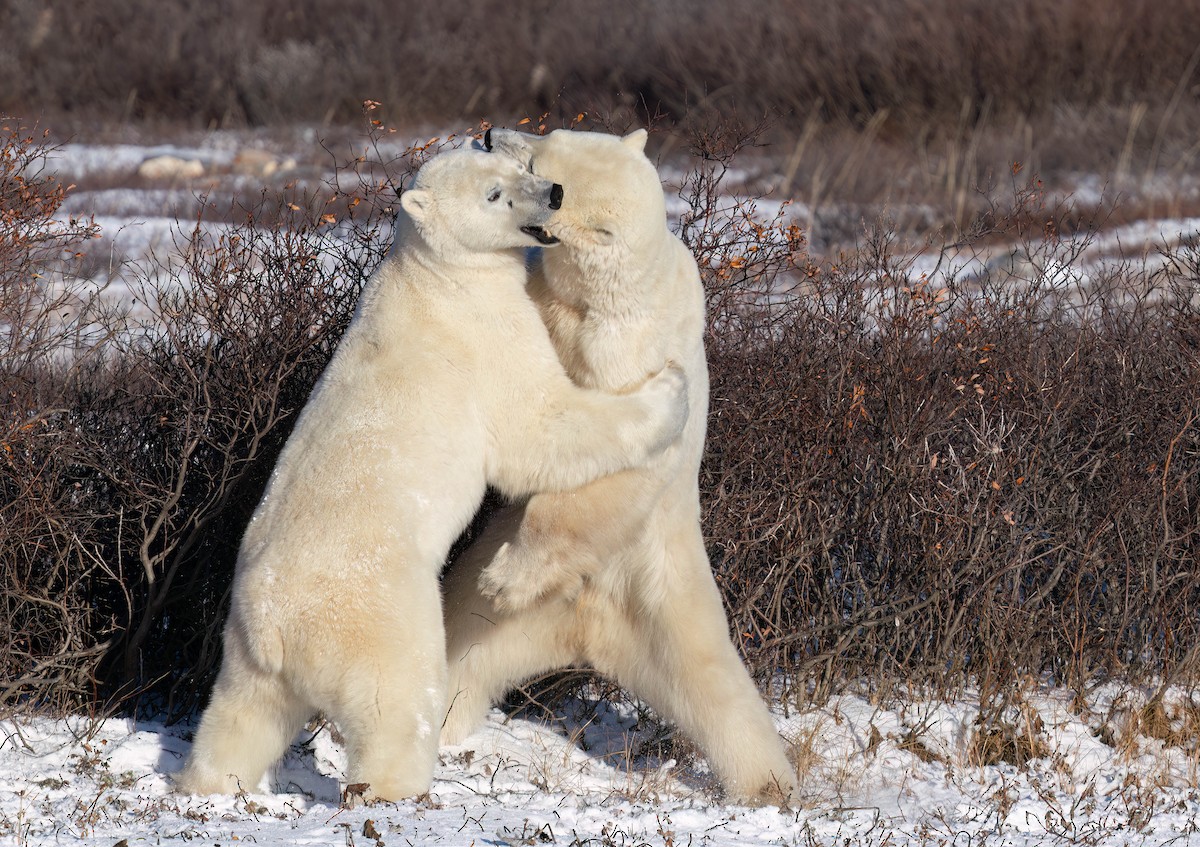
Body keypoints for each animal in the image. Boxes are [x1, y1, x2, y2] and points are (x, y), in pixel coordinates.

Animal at [175, 146, 689, 803]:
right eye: (494, 194)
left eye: (519, 165)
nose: (553, 192)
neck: (432, 272)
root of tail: (275, 628)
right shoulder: (483, 329)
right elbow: (537, 427)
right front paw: (669, 388)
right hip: (378, 616)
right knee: (395, 700)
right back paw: (401, 785)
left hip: (245, 650)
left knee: (241, 717)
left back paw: (207, 783)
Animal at [439, 128, 799, 805]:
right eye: (545, 131)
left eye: (537, 165)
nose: (492, 133)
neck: (605, 300)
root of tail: (588, 628)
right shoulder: (550, 305)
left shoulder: (634, 352)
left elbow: (613, 462)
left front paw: (509, 576)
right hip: (501, 625)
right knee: (459, 649)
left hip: (665, 599)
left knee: (721, 693)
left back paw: (770, 786)